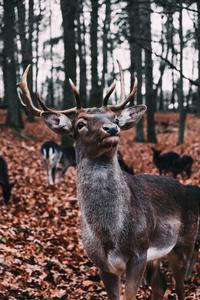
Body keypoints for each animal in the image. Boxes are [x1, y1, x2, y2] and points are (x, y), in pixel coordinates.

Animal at [17, 62, 198, 300]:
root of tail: (187, 191)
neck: (110, 234)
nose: (112, 128)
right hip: (159, 255)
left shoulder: (138, 254)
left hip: (185, 242)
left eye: (115, 118)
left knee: (179, 285)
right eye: (80, 123)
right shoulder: (102, 264)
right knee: (160, 284)